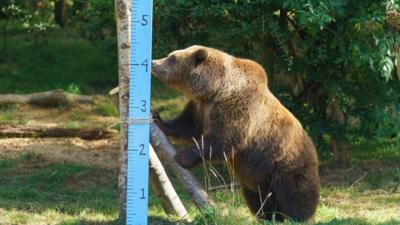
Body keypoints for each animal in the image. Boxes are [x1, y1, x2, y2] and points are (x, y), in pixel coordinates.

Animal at [152, 45, 320, 221]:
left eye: (172, 58)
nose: (153, 62)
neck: (213, 90)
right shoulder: (201, 108)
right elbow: (188, 126)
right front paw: (158, 119)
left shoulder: (237, 106)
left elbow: (224, 139)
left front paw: (182, 156)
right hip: (258, 178)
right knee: (260, 200)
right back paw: (269, 217)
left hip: (287, 165)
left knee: (296, 196)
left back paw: (299, 218)